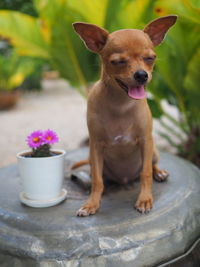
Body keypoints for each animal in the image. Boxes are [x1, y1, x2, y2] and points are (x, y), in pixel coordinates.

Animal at [72, 15, 177, 218]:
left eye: (150, 58)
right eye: (118, 62)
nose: (142, 75)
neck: (120, 104)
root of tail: (125, 179)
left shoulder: (145, 141)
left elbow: (145, 174)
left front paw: (144, 200)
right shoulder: (95, 146)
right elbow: (97, 180)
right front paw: (91, 204)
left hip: (153, 151)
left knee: (151, 166)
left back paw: (159, 172)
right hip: (93, 158)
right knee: (97, 175)